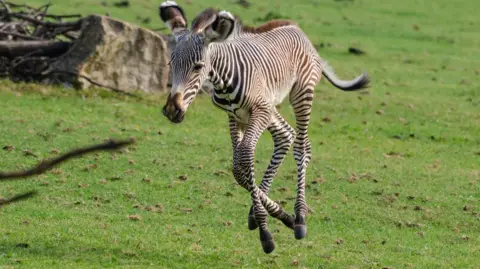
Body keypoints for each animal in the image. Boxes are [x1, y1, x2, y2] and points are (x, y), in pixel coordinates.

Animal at [159, 1, 370, 252]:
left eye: (198, 67)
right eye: (171, 63)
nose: (172, 110)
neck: (224, 78)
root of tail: (297, 29)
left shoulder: (258, 112)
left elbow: (244, 158)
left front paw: (266, 231)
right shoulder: (235, 116)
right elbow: (238, 168)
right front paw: (276, 215)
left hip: (300, 94)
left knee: (301, 147)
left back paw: (300, 217)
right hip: (270, 107)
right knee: (286, 135)